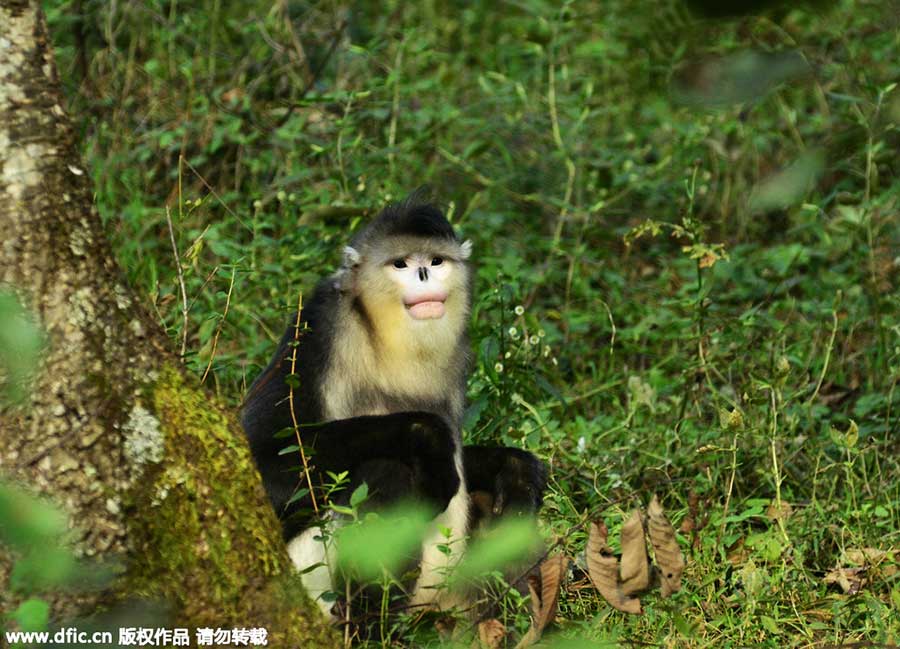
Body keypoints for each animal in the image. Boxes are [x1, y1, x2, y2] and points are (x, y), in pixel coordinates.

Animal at [241, 192, 547, 620]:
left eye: (435, 261)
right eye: (401, 264)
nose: (423, 275)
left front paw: (515, 468)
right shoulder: (317, 324)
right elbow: (262, 458)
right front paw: (427, 437)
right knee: (386, 471)